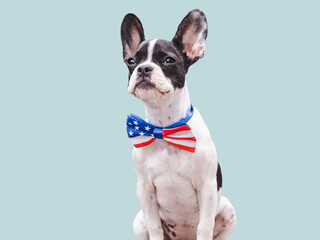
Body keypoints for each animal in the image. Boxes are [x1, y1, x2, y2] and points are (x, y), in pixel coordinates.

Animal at [121, 9, 236, 240]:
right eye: (131, 61)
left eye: (168, 59)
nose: (144, 68)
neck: (165, 128)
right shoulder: (145, 190)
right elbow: (155, 226)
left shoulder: (207, 187)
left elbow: (205, 226)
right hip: (138, 221)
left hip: (228, 209)